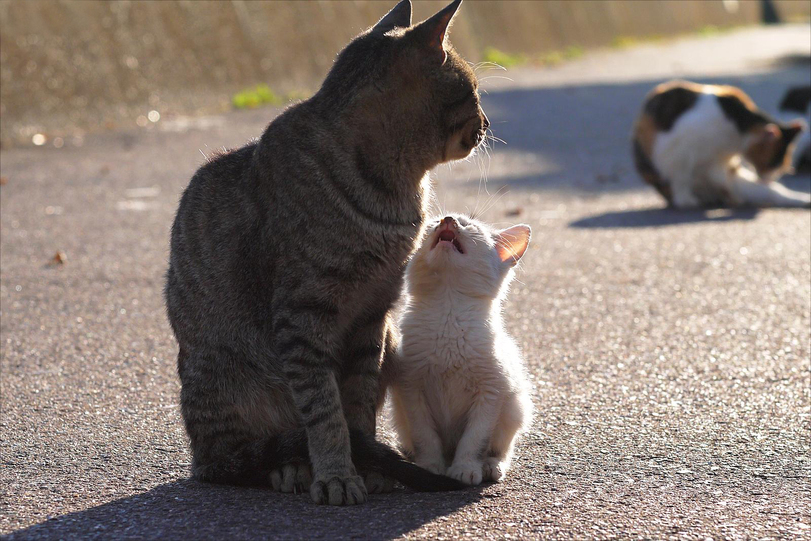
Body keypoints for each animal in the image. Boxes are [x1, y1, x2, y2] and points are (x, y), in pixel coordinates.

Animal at [163, 1, 488, 506]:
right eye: (472, 92)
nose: (488, 123)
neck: (398, 192)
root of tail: (199, 453)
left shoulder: (373, 316)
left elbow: (358, 406)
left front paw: (366, 467)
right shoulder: (303, 314)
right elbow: (324, 411)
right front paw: (337, 474)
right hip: (225, 378)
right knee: (242, 459)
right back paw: (290, 468)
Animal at [392, 214, 536, 486]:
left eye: (469, 225)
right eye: (434, 222)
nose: (448, 220)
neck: (449, 311)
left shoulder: (491, 392)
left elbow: (475, 438)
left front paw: (466, 467)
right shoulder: (411, 388)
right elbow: (424, 435)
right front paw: (430, 466)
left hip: (515, 407)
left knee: (503, 448)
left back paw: (492, 465)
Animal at [636, 80, 811, 209]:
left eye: (782, 166)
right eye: (774, 163)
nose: (771, 178)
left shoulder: (724, 164)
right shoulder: (677, 147)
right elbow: (681, 177)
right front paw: (686, 199)